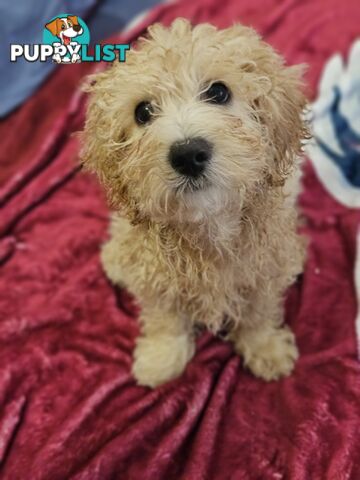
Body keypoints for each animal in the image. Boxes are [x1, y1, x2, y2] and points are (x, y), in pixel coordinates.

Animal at [81, 18, 310, 388]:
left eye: (218, 92)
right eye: (143, 112)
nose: (188, 154)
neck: (207, 223)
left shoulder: (263, 268)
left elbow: (258, 311)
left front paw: (266, 349)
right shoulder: (156, 274)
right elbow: (164, 316)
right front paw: (160, 359)